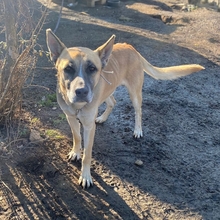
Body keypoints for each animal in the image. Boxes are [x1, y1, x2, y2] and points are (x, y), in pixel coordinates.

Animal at [46, 28, 205, 188]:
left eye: (92, 68)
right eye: (68, 68)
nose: (81, 92)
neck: (78, 106)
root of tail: (131, 47)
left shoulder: (89, 127)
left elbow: (87, 154)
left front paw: (85, 176)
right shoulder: (71, 118)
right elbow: (77, 137)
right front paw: (76, 152)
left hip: (134, 93)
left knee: (138, 111)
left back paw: (138, 130)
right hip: (108, 90)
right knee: (112, 102)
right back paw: (102, 118)